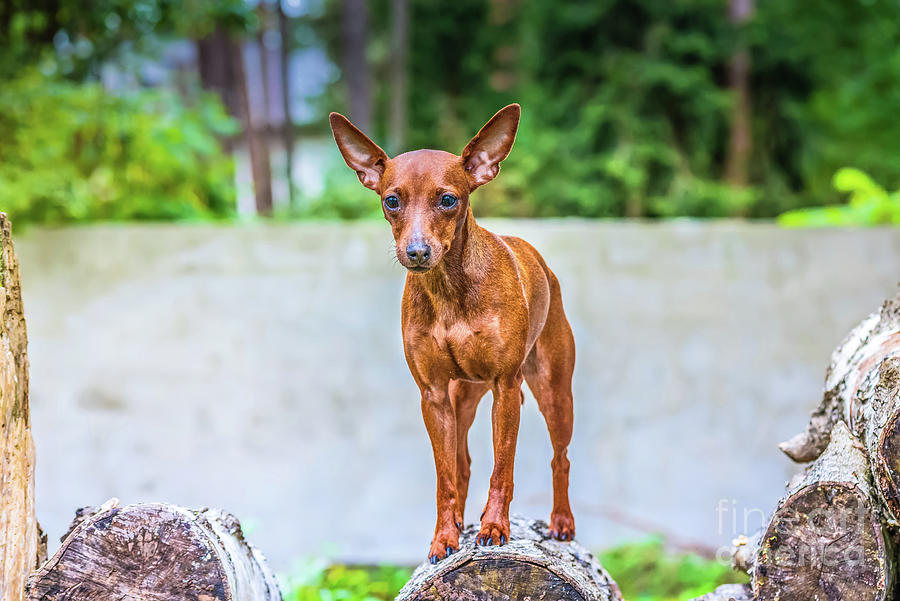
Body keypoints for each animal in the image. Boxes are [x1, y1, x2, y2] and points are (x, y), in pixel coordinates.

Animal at [330, 104, 576, 564]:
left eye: (448, 200)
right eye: (392, 201)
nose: (416, 251)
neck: (450, 292)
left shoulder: (505, 386)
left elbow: (503, 468)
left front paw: (494, 526)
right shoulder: (433, 396)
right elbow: (445, 476)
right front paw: (444, 535)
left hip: (552, 392)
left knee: (560, 458)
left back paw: (561, 521)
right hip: (463, 399)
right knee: (462, 463)